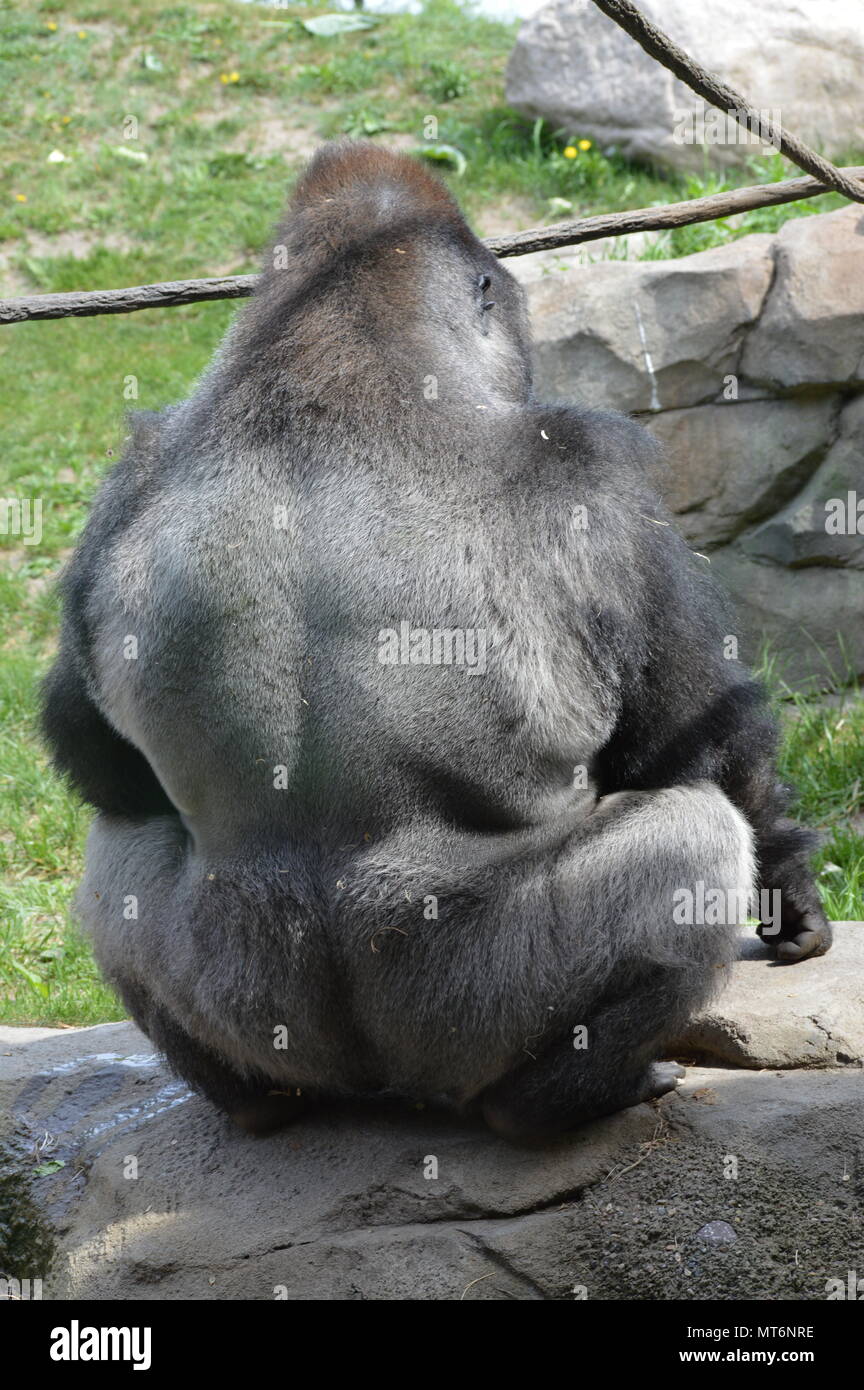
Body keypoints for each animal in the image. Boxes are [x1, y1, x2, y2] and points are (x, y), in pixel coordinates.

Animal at [42, 143, 833, 1139]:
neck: (333, 352)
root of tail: (378, 1089)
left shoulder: (127, 477)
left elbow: (91, 752)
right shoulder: (594, 467)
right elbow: (707, 742)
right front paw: (792, 881)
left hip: (257, 1001)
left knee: (119, 836)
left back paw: (250, 1101)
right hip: (460, 1009)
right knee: (691, 838)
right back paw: (566, 1099)